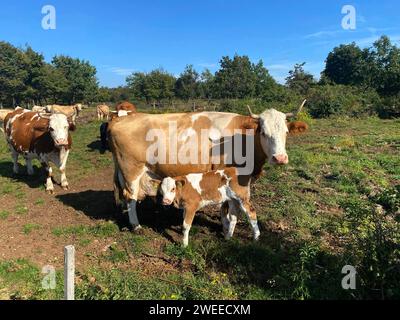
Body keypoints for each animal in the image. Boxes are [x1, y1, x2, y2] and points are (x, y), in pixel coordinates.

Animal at [108, 102, 304, 232]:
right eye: (263, 132)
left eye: (286, 132)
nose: (280, 158)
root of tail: (120, 120)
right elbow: (227, 206)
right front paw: (226, 228)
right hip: (131, 170)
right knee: (130, 197)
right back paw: (136, 226)